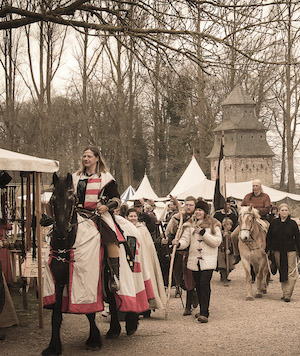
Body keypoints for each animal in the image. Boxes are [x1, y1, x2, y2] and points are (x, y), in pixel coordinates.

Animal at [42, 174, 138, 356]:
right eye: (53, 199)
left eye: (71, 198)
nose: (62, 230)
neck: (68, 243)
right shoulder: (58, 280)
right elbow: (56, 315)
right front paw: (53, 346)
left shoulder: (88, 279)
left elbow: (90, 313)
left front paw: (93, 340)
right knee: (112, 297)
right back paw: (114, 329)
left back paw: (131, 323)